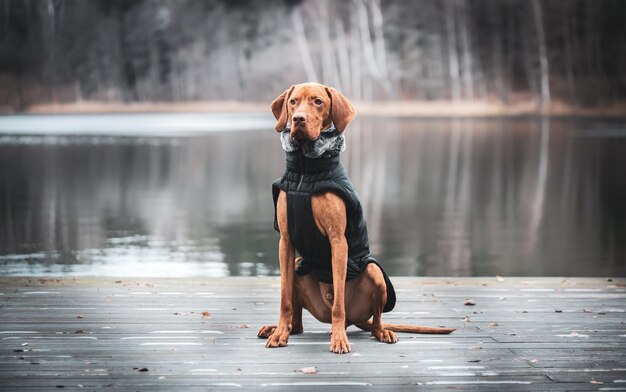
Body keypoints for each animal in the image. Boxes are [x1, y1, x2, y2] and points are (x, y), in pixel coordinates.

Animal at [256, 81, 450, 354]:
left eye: (318, 101)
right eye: (293, 102)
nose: (298, 119)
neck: (305, 171)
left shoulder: (338, 241)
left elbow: (338, 301)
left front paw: (339, 340)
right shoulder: (285, 241)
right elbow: (284, 297)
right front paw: (279, 333)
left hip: (374, 272)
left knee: (371, 318)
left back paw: (378, 332)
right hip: (297, 265)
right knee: (299, 325)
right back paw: (279, 329)